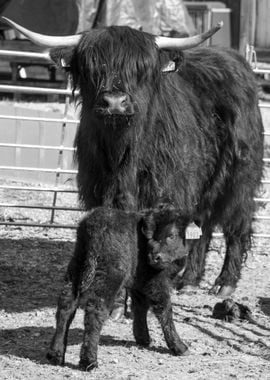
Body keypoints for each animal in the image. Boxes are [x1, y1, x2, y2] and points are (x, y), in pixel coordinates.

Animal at [2, 18, 264, 296]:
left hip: (240, 176)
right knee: (204, 224)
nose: (115, 102)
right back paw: (189, 280)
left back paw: (225, 282)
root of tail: (233, 57)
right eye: (92, 67)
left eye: (140, 69)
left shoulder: (165, 194)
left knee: (237, 223)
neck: (122, 155)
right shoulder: (99, 192)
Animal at [46, 206, 189, 370]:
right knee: (95, 310)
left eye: (174, 235)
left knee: (66, 306)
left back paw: (56, 355)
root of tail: (94, 224)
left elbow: (140, 307)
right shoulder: (154, 280)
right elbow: (164, 308)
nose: (155, 257)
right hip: (109, 276)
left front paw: (143, 338)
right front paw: (180, 347)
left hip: (75, 268)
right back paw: (89, 361)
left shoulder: (138, 282)